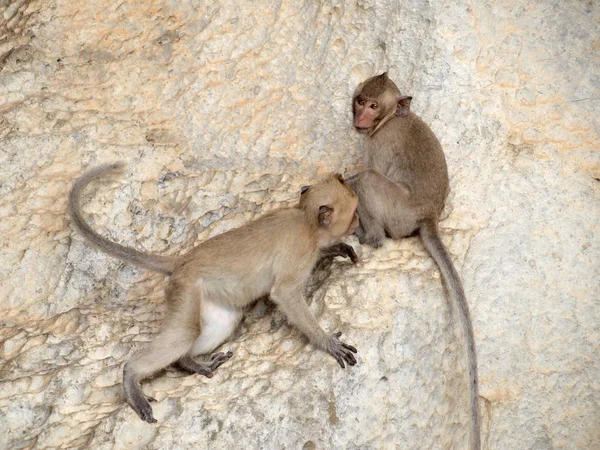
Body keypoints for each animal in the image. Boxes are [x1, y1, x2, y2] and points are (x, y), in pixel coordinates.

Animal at [70, 163, 360, 424]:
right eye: (355, 211)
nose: (358, 221)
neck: (306, 220)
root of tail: (182, 261)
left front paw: (336, 249)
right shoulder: (299, 249)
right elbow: (285, 294)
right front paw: (327, 342)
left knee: (220, 323)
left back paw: (189, 362)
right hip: (185, 288)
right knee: (184, 334)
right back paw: (132, 375)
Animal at [344, 72, 480, 448]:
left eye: (374, 106)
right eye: (361, 100)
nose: (361, 116)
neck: (391, 119)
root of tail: (428, 216)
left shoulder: (379, 143)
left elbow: (363, 175)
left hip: (399, 213)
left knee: (369, 182)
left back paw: (370, 236)